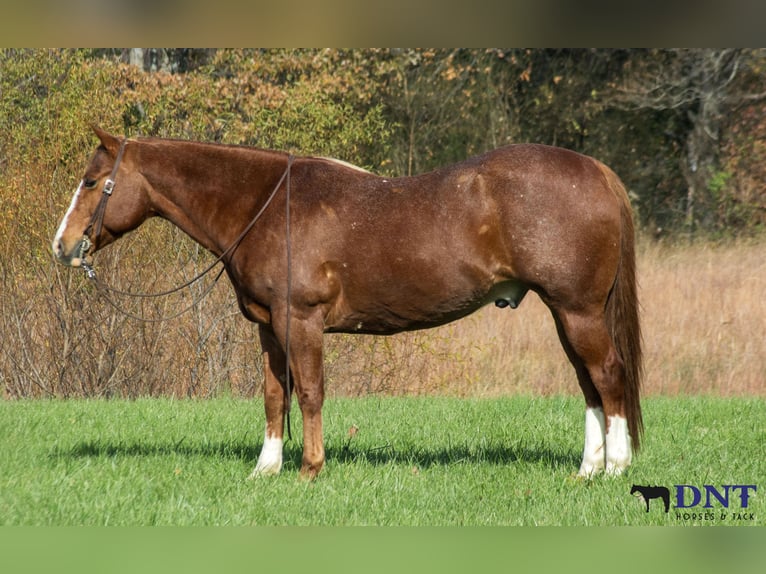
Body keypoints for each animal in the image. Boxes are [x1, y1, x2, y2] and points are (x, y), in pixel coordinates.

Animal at [52, 126, 643, 480]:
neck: (268, 205)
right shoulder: (268, 327)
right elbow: (275, 396)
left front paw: (310, 468)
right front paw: (266, 469)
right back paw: (588, 469)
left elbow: (311, 393)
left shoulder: (301, 321)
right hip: (567, 314)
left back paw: (616, 468)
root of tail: (597, 171)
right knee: (589, 383)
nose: (61, 245)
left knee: (609, 375)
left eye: (92, 182)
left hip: (578, 310)